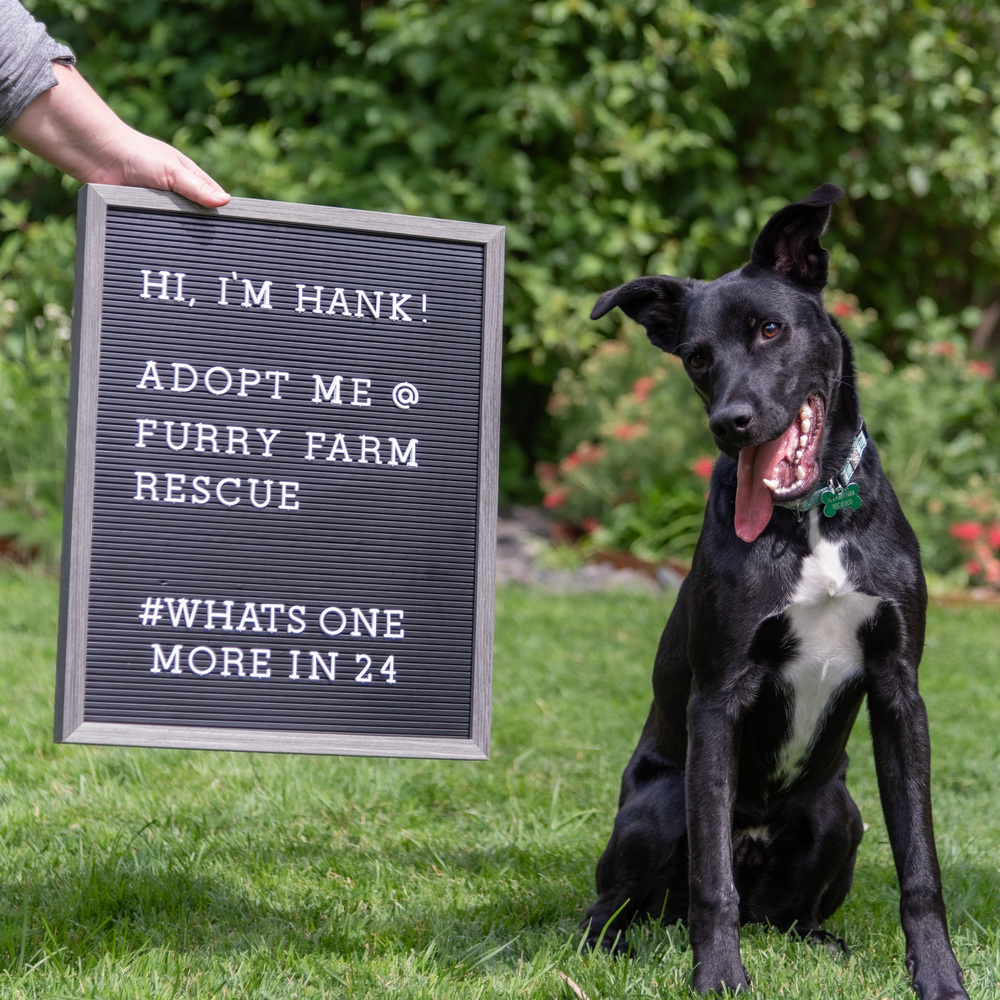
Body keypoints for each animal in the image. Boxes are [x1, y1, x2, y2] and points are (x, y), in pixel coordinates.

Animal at [584, 184, 968, 996]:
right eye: (697, 357)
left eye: (769, 329)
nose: (730, 424)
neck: (812, 518)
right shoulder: (716, 697)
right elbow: (711, 883)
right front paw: (720, 977)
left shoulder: (899, 689)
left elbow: (920, 864)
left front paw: (938, 975)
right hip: (659, 807)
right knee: (613, 906)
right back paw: (617, 947)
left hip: (842, 812)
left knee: (790, 914)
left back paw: (824, 944)